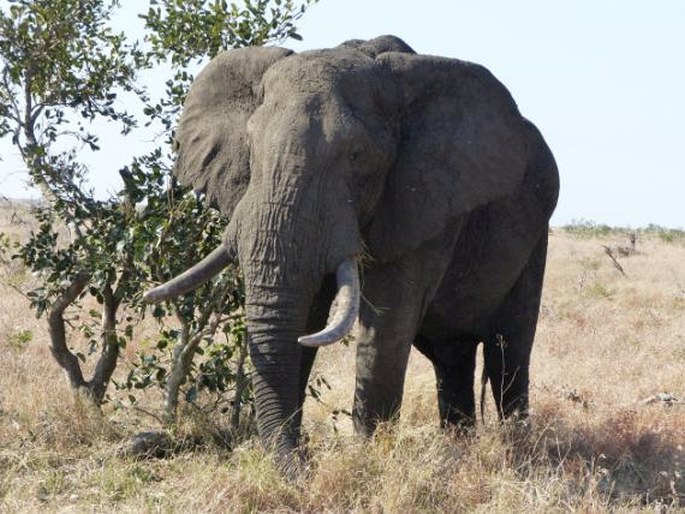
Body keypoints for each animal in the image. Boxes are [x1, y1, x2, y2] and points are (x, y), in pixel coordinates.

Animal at [144, 36, 556, 474]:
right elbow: (306, 314)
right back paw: (459, 446)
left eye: (358, 155)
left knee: (508, 351)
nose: (303, 463)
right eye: (251, 148)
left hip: (536, 235)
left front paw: (368, 457)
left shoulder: (426, 205)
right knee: (452, 357)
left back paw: (518, 446)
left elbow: (387, 324)